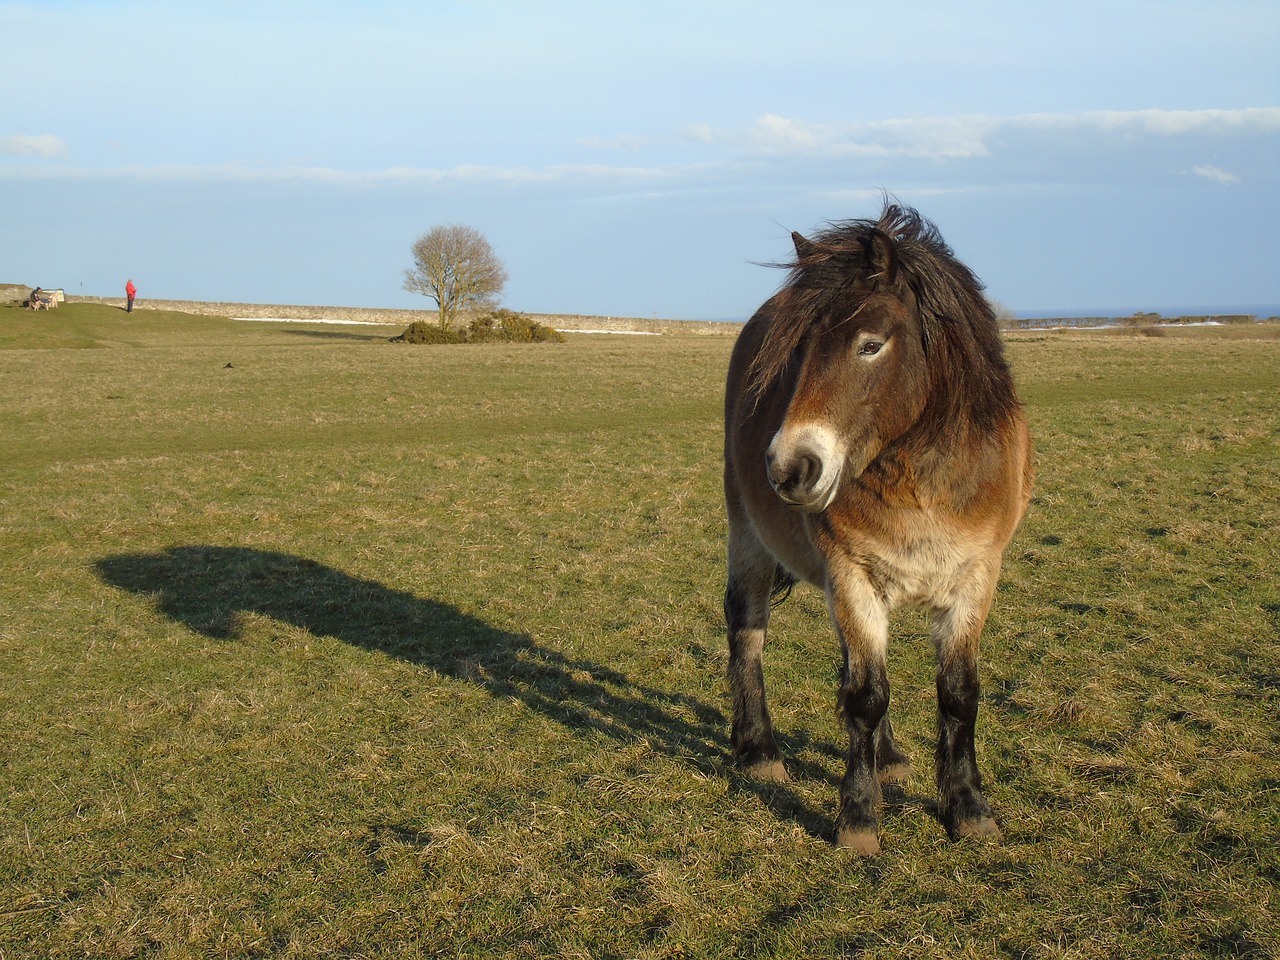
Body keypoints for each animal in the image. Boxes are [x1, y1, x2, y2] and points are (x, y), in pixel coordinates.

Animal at [727, 204, 1034, 855]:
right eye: (797, 351)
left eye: (870, 344)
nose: (790, 467)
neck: (920, 475)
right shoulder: (852, 576)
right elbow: (866, 696)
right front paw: (859, 819)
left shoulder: (975, 579)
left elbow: (957, 694)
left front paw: (968, 808)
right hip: (748, 538)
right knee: (747, 631)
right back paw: (759, 750)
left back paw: (889, 758)